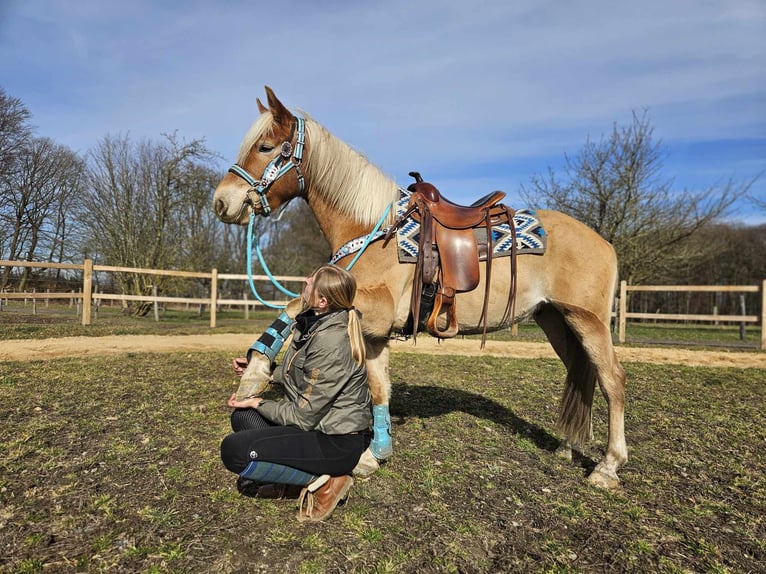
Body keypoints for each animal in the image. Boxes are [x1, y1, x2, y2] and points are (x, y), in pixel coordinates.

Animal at [213, 86, 628, 490]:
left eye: (265, 147)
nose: (221, 202)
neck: (374, 229)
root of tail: (604, 243)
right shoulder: (373, 331)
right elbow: (378, 387)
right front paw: (374, 455)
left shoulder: (373, 309)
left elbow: (297, 302)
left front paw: (254, 371)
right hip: (555, 319)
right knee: (581, 373)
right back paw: (567, 447)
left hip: (587, 321)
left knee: (612, 379)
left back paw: (607, 468)